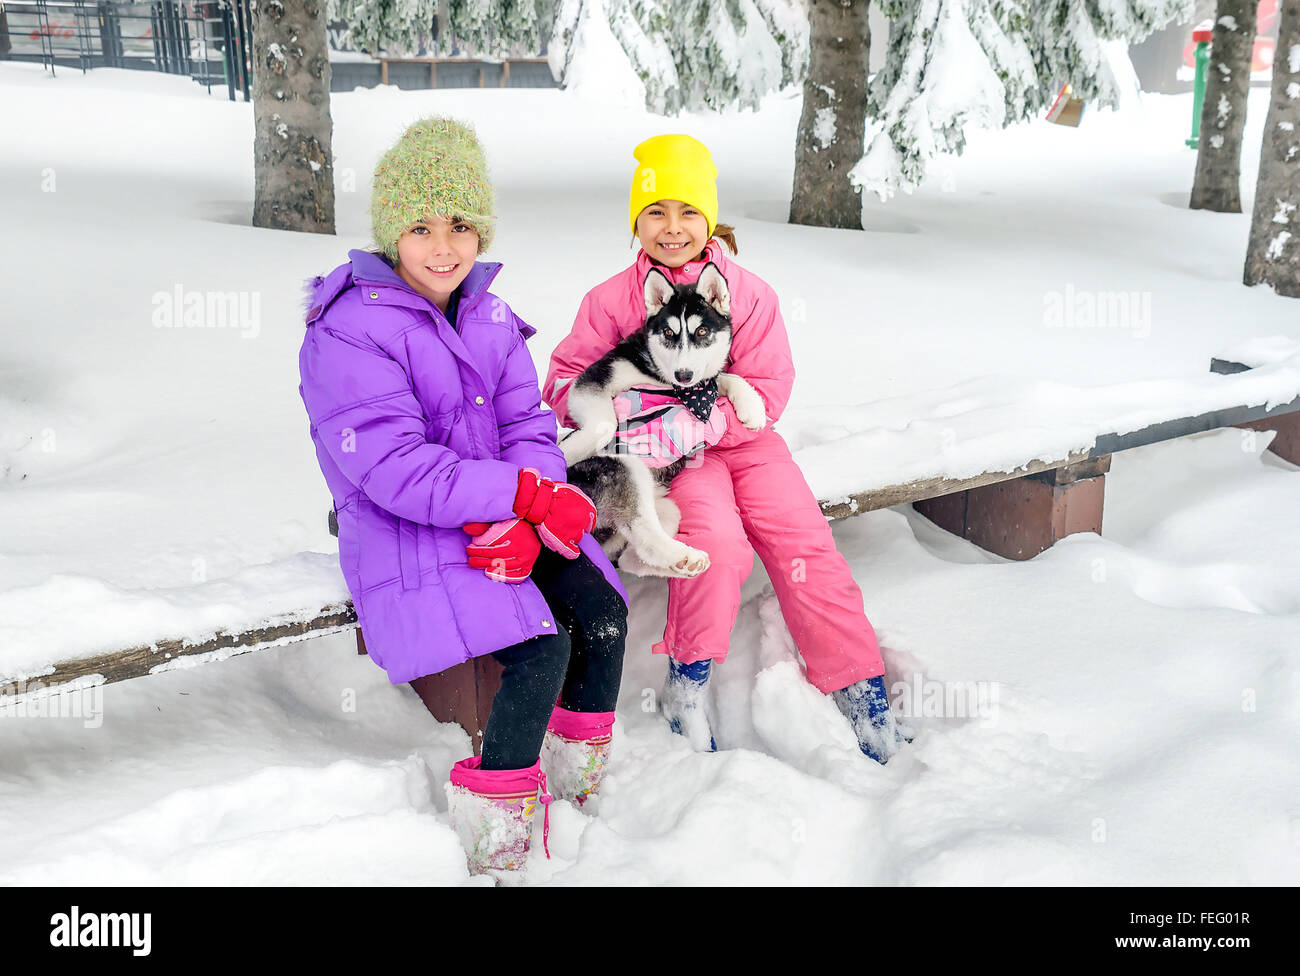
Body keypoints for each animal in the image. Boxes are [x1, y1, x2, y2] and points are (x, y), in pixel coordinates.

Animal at [561, 263, 764, 577]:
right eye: (668, 332)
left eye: (702, 331)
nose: (684, 374)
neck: (665, 380)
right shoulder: (595, 378)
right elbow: (604, 425)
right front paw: (563, 452)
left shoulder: (700, 384)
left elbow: (724, 378)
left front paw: (752, 405)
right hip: (622, 466)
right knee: (645, 539)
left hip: (665, 508)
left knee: (635, 555)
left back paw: (685, 561)